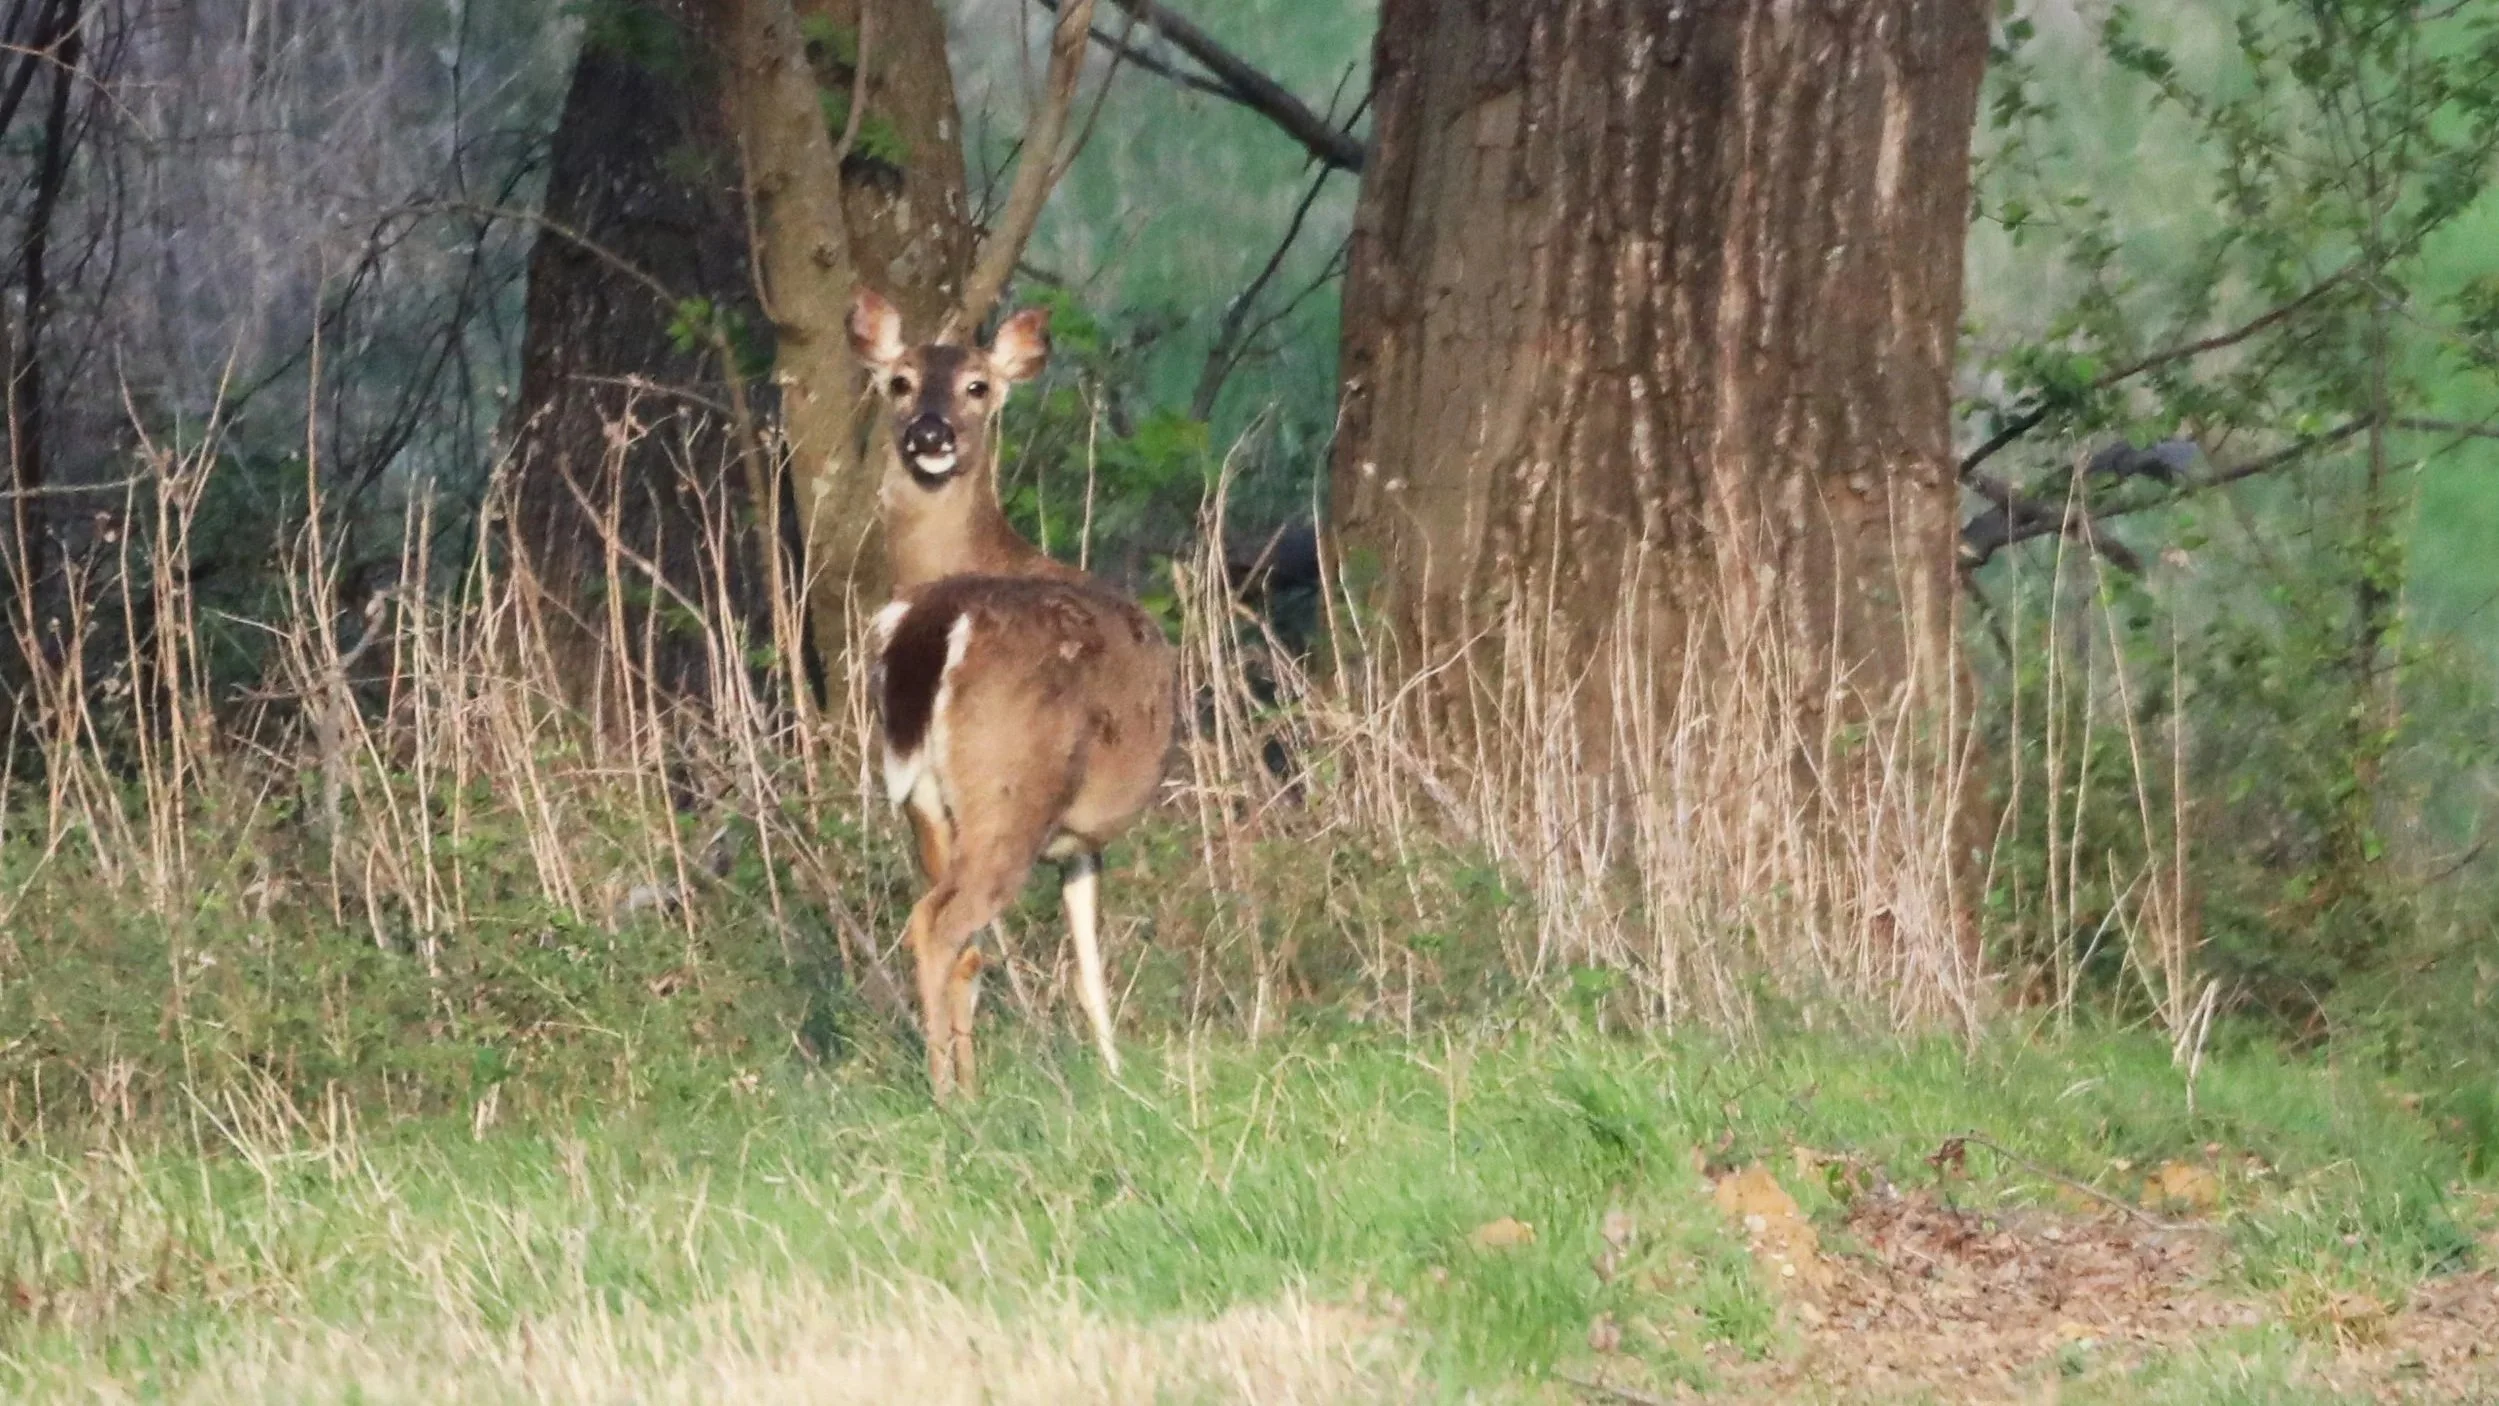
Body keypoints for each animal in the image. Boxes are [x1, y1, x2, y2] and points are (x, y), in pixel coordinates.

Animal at [847, 287, 1175, 1102]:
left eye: (976, 385)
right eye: (899, 382)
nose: (930, 434)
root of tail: (938, 624)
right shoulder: (1083, 831)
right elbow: (1088, 962)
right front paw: (1115, 1075)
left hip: (923, 798)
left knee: (950, 933)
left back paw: (956, 1086)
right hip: (1012, 785)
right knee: (937, 923)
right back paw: (944, 1095)